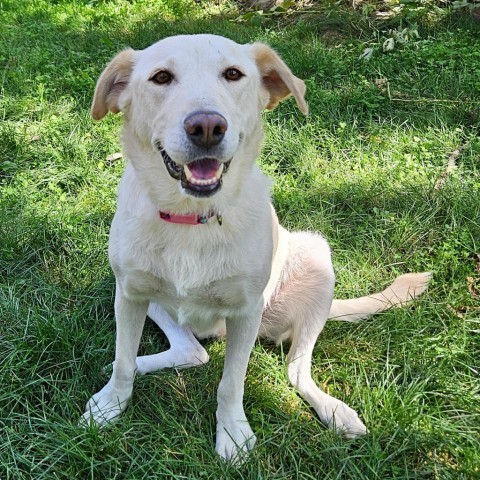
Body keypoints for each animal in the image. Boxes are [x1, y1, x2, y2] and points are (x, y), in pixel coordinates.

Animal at [82, 33, 432, 462]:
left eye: (233, 74)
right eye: (161, 77)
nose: (207, 126)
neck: (191, 218)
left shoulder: (247, 311)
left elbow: (231, 383)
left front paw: (232, 432)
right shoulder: (130, 294)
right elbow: (121, 361)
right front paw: (111, 403)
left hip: (316, 258)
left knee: (295, 372)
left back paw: (335, 411)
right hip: (140, 294)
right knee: (189, 351)